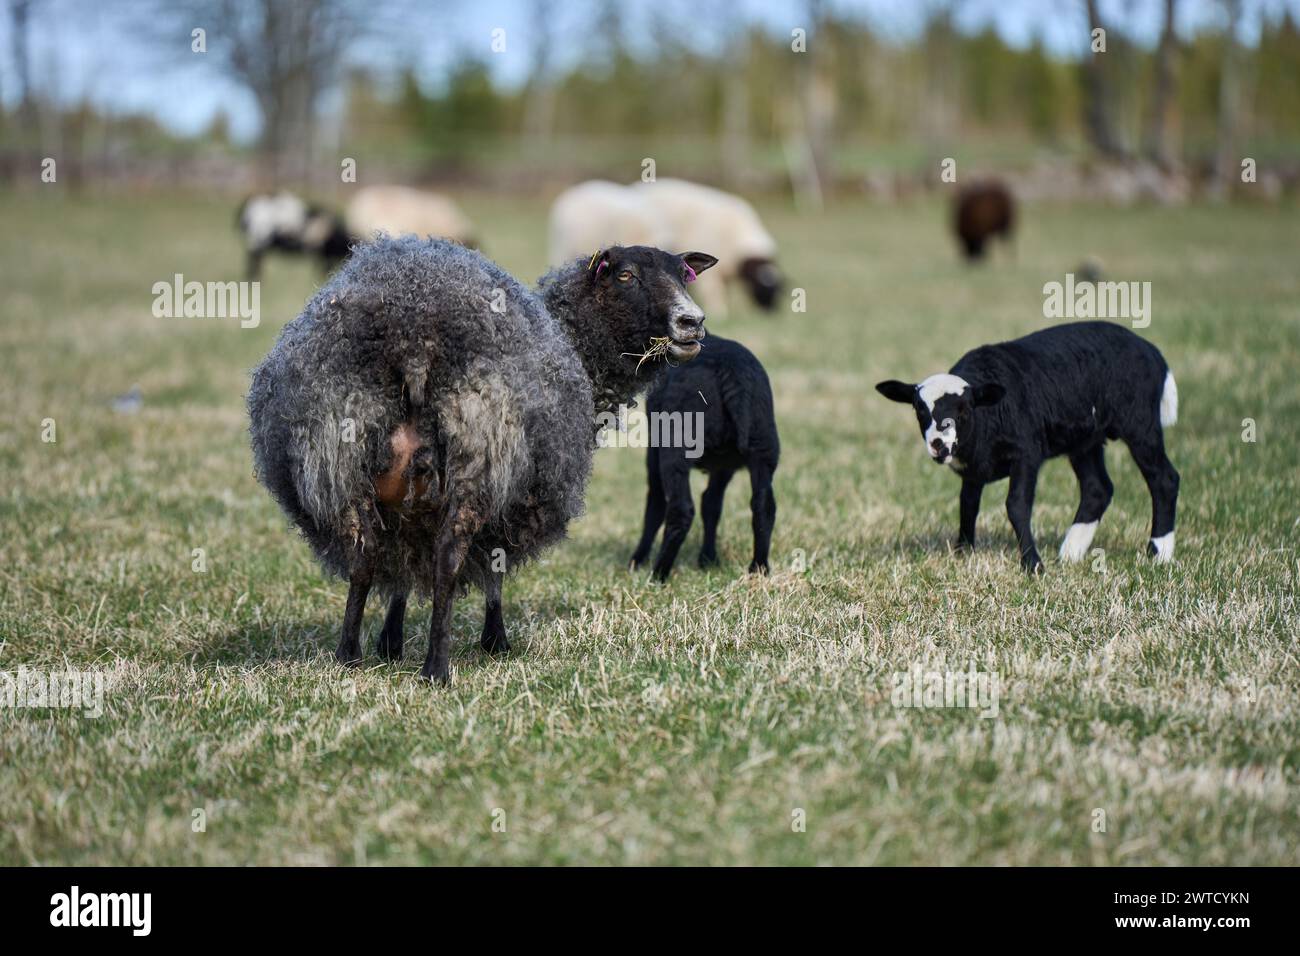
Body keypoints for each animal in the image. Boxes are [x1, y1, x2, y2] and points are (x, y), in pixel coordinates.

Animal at [248, 235, 717, 686]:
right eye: (625, 275)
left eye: (684, 275)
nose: (692, 322)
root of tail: (413, 335)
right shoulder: (511, 494)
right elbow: (495, 566)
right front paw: (495, 640)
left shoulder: (411, 504)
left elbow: (403, 573)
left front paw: (389, 641)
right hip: (479, 454)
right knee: (448, 559)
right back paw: (436, 670)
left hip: (341, 457)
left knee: (364, 557)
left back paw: (349, 656)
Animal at [631, 332, 780, 580]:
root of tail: (733, 371)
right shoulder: (723, 465)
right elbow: (711, 504)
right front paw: (708, 559)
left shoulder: (655, 446)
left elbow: (655, 505)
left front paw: (637, 560)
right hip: (763, 443)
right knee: (763, 505)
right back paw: (758, 569)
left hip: (676, 444)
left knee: (680, 509)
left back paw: (658, 574)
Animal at [873, 321, 1180, 574]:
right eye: (919, 410)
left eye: (964, 410)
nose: (939, 445)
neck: (987, 417)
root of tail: (1153, 352)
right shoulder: (974, 469)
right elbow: (967, 505)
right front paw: (962, 554)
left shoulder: (1026, 453)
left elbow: (1016, 506)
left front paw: (1032, 565)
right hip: (1086, 438)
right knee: (1097, 488)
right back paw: (1070, 553)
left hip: (1139, 422)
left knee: (1163, 478)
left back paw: (1158, 552)